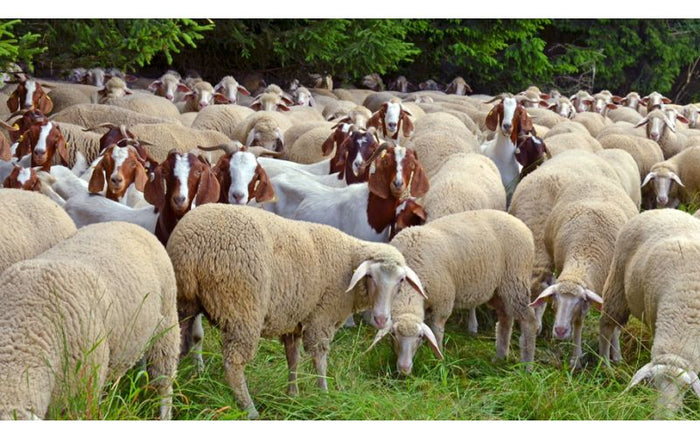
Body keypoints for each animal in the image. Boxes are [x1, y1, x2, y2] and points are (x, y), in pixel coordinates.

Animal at [167, 203, 427, 419]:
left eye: (401, 281)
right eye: (371, 277)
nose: (381, 319)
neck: (349, 260)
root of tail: (191, 250)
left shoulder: (294, 318)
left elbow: (293, 358)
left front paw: (292, 394)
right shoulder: (321, 317)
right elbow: (319, 358)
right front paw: (324, 394)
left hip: (183, 303)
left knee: (178, 347)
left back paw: (177, 390)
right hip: (242, 308)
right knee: (234, 364)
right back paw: (250, 410)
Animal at [371, 209, 537, 374]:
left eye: (419, 336)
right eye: (394, 335)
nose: (404, 369)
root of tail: (520, 224)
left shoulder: (443, 301)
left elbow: (436, 331)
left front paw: (438, 360)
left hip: (515, 281)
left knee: (529, 321)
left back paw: (527, 366)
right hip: (498, 289)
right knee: (505, 318)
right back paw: (500, 357)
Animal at [598, 209, 700, 417]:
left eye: (685, 388)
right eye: (653, 383)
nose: (664, 419)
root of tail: (663, 210)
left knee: (617, 329)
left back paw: (617, 358)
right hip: (617, 282)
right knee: (607, 326)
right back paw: (606, 366)